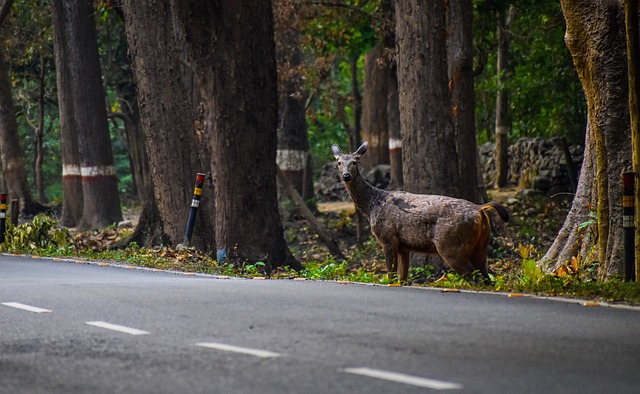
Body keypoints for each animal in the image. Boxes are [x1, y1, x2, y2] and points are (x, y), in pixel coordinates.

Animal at [332, 142, 508, 284]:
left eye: (354, 162)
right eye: (339, 162)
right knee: (486, 278)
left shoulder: (388, 238)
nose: (346, 176)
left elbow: (391, 275)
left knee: (474, 278)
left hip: (450, 245)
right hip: (480, 245)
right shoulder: (404, 247)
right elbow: (402, 279)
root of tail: (480, 209)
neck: (372, 207)